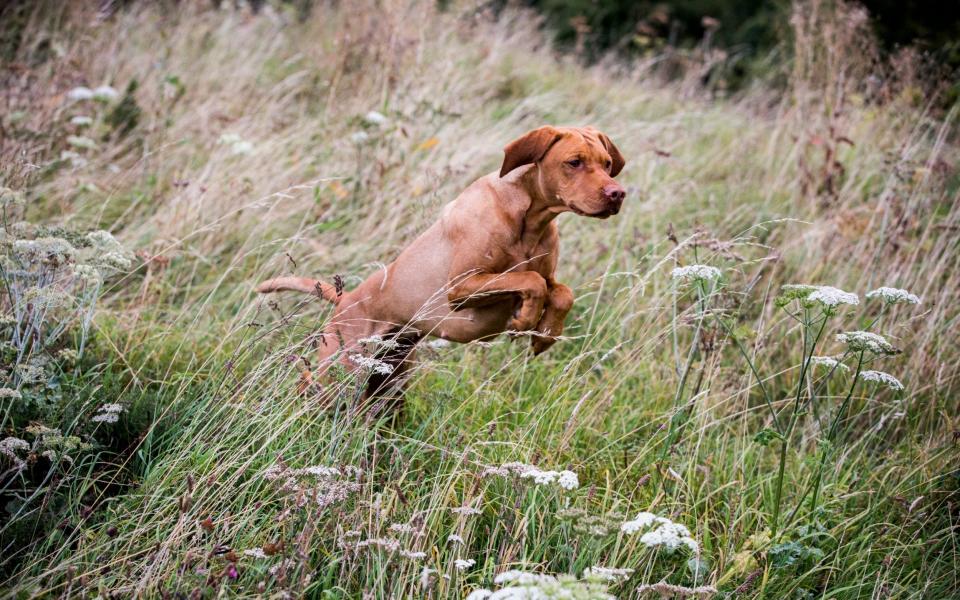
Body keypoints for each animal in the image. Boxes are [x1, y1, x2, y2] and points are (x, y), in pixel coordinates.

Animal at [258, 125, 628, 400]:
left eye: (607, 163)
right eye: (574, 162)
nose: (617, 194)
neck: (528, 218)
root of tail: (345, 298)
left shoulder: (545, 277)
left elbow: (561, 291)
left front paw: (546, 332)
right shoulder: (462, 288)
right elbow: (529, 281)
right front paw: (525, 318)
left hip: (389, 381)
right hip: (338, 371)